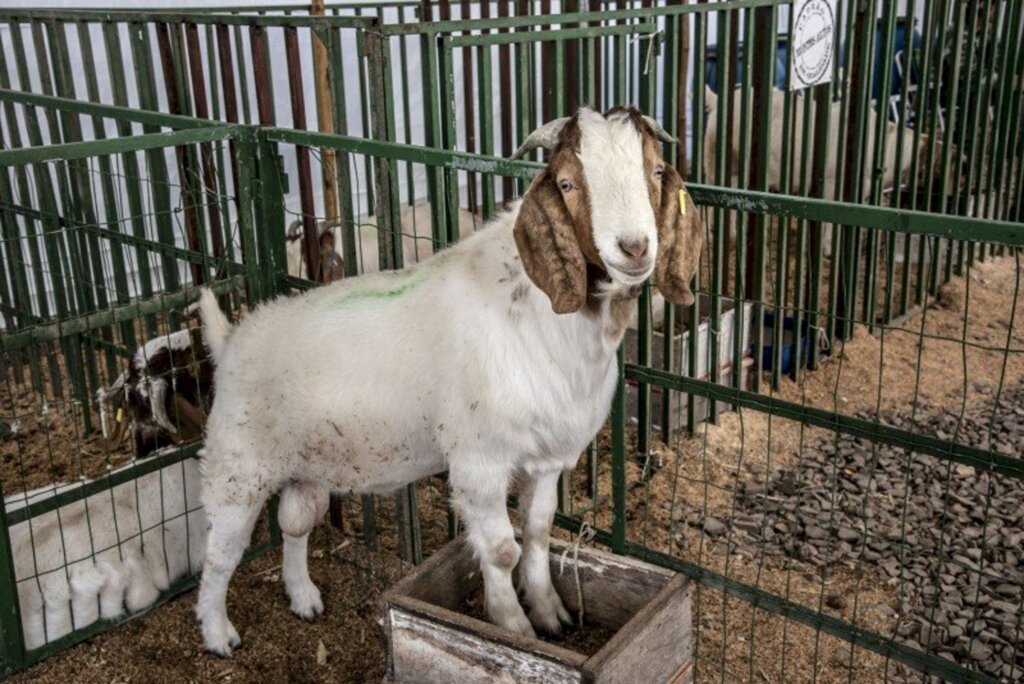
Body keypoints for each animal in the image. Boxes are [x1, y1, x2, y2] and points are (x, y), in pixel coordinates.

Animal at [193, 104, 704, 655]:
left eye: (657, 171)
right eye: (567, 182)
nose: (634, 248)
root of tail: (230, 339)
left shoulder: (547, 457)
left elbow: (539, 532)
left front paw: (551, 616)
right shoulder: (478, 460)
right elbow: (502, 550)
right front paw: (512, 628)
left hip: (305, 467)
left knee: (294, 525)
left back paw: (303, 596)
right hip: (236, 466)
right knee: (220, 552)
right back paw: (217, 632)